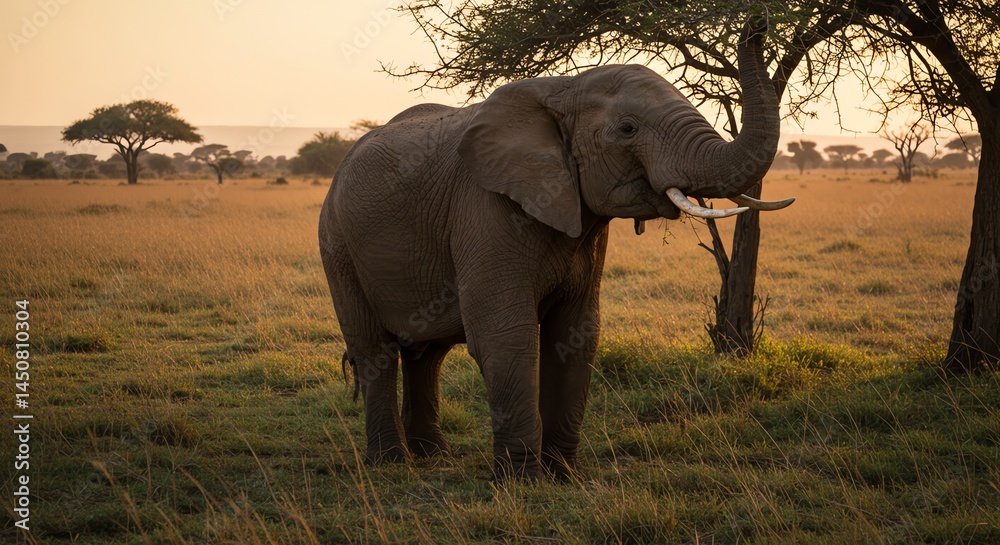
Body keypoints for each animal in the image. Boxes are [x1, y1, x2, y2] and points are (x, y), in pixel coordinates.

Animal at [318, 24, 791, 479]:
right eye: (628, 129)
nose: (758, 23)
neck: (564, 88)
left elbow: (576, 334)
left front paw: (563, 475)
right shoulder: (484, 206)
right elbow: (506, 335)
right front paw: (522, 481)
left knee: (428, 353)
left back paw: (434, 456)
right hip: (336, 244)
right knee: (375, 352)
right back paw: (392, 463)